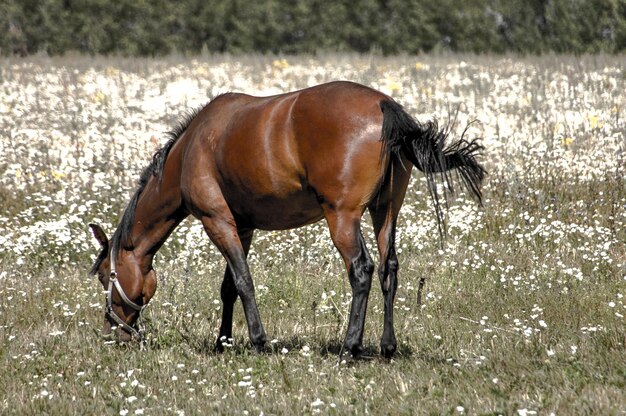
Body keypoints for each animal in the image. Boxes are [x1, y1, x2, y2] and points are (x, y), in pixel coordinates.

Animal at [89, 80, 482, 358]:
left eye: (108, 276)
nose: (112, 334)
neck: (190, 150)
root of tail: (384, 106)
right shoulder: (242, 226)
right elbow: (228, 287)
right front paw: (222, 343)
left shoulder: (217, 221)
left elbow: (243, 282)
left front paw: (258, 341)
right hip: (385, 212)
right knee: (389, 270)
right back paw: (387, 347)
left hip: (343, 219)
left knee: (362, 270)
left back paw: (349, 348)